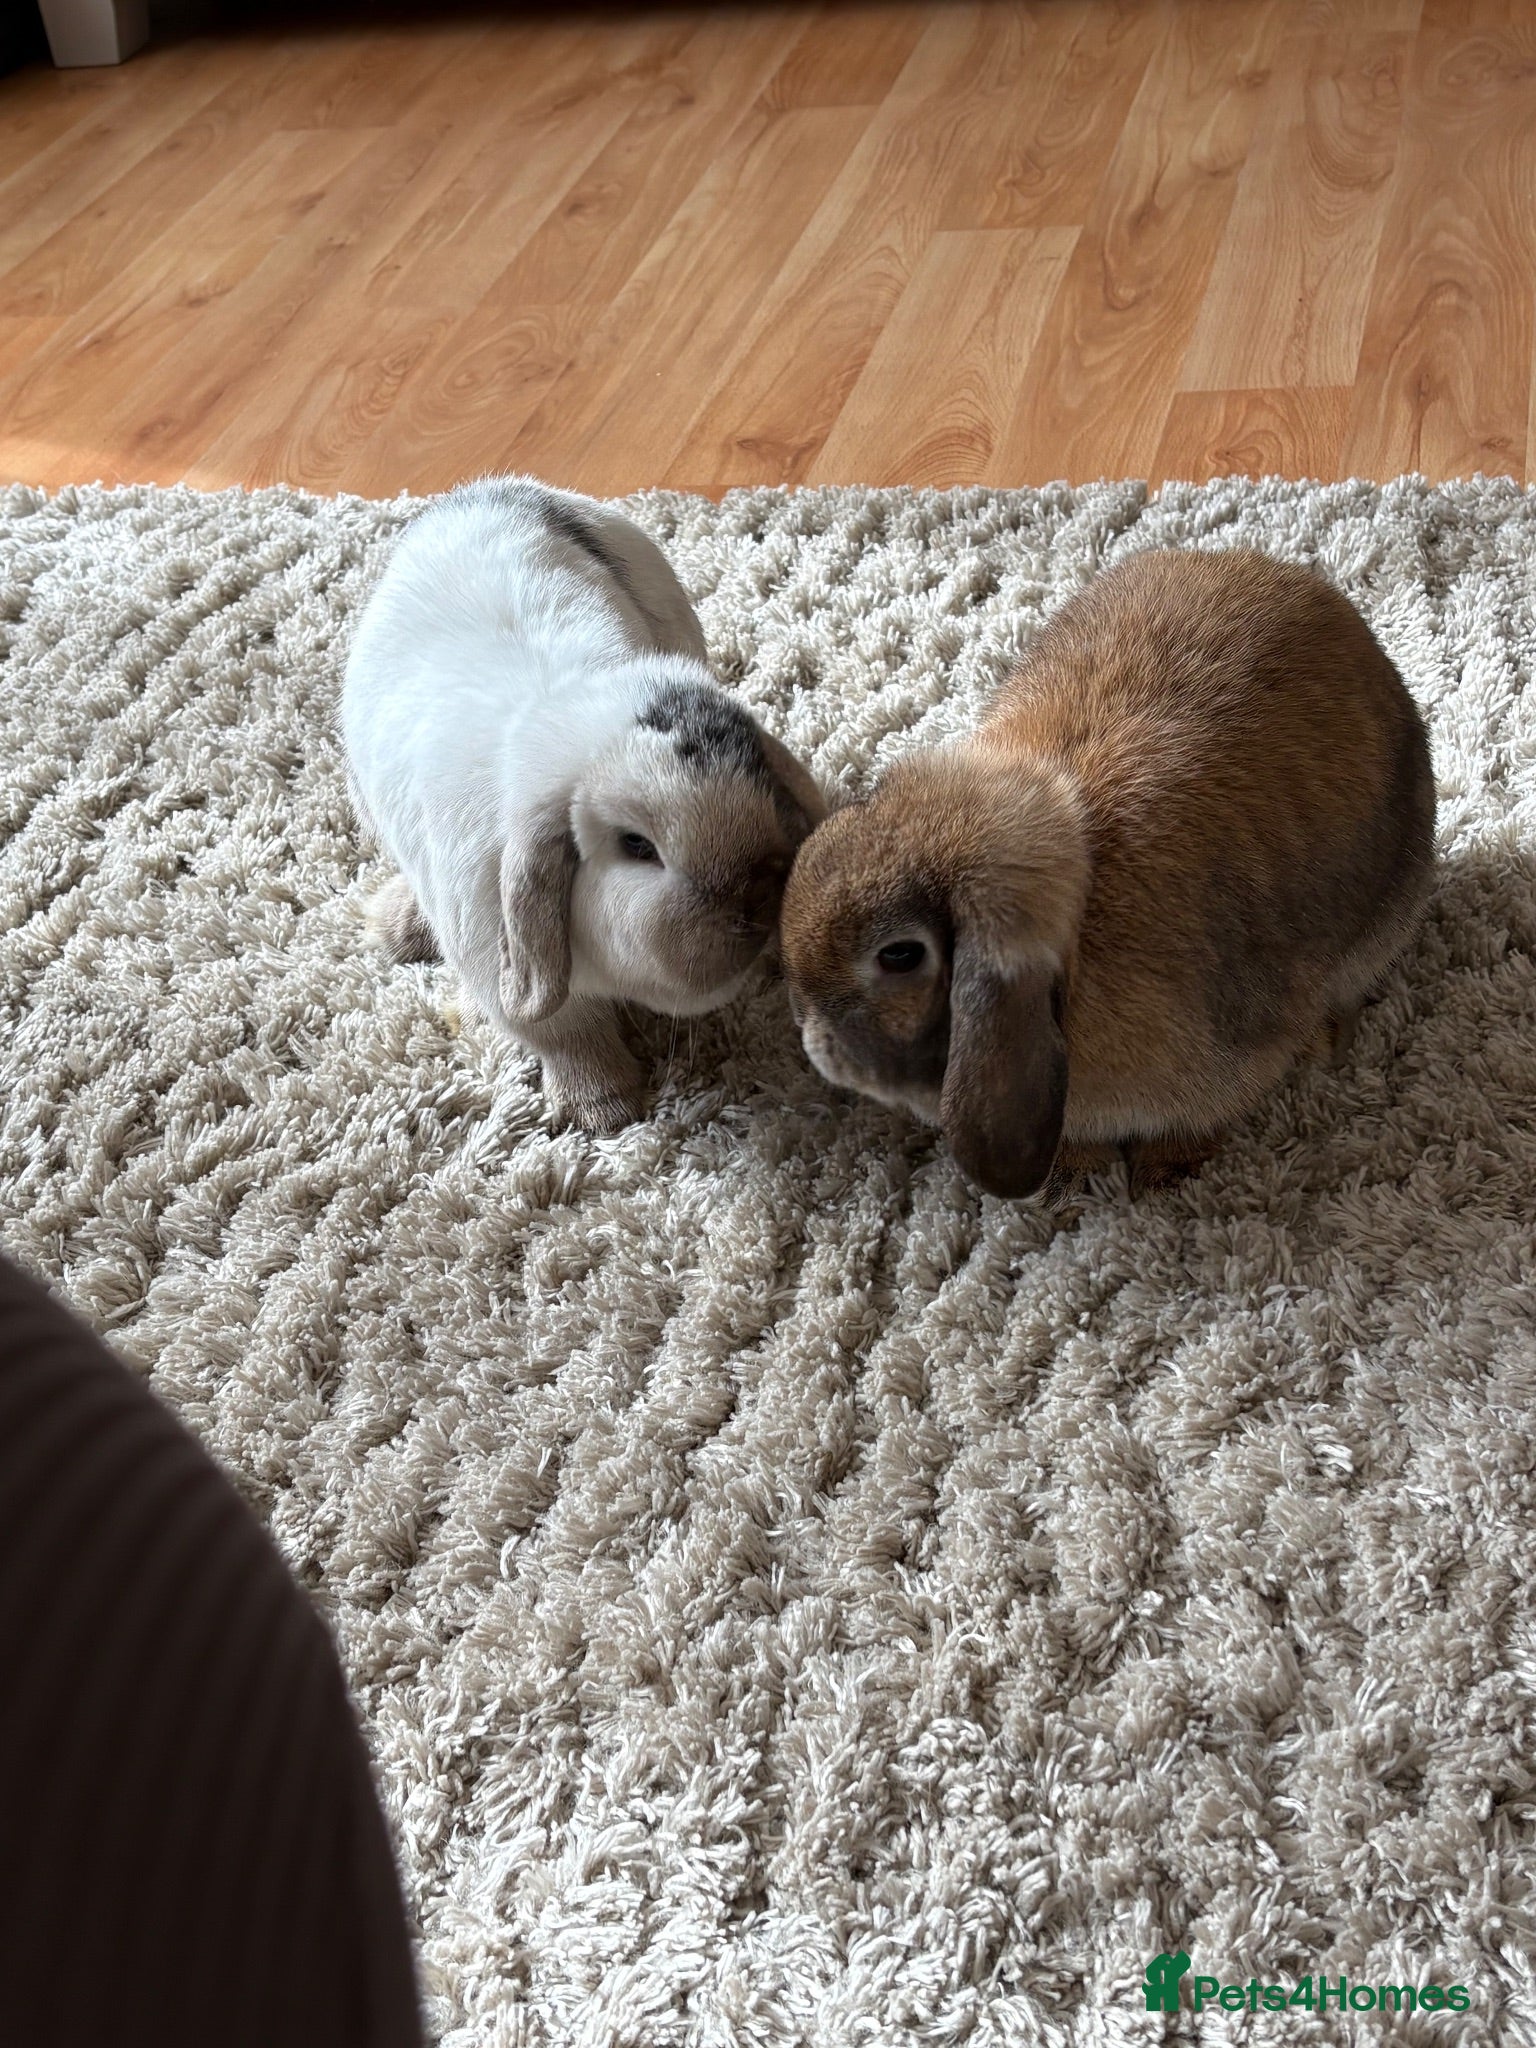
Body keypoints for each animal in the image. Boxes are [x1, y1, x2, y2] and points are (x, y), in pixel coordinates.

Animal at [343, 477, 825, 1133]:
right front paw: (605, 1113)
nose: (754, 906)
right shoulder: (506, 970)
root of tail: (481, 491)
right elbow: (567, 1035)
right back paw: (393, 927)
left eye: (761, 790)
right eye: (637, 846)